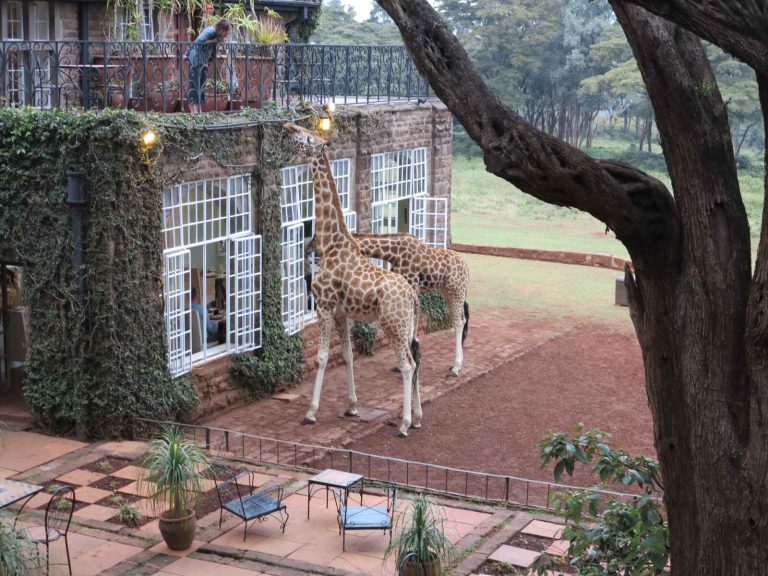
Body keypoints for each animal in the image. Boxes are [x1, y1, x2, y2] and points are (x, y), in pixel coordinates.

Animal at [282, 122, 423, 437]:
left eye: (307, 136)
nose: (287, 126)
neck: (331, 243)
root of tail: (411, 296)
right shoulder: (341, 312)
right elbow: (347, 355)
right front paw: (352, 406)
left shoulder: (323, 305)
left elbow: (322, 357)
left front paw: (311, 413)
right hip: (407, 325)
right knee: (416, 360)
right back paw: (418, 417)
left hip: (392, 324)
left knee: (407, 365)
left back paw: (404, 425)